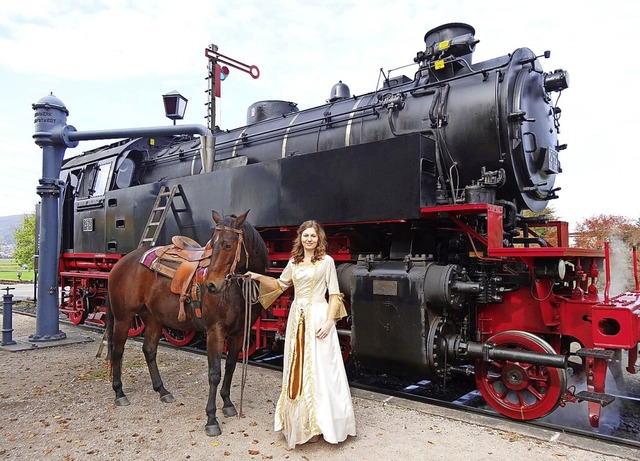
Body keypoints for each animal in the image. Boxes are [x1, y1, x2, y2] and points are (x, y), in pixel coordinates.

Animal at [107, 208, 268, 434]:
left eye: (228, 244)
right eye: (211, 244)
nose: (211, 285)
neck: (235, 291)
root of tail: (120, 264)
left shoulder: (238, 334)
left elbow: (230, 367)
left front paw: (227, 403)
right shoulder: (215, 332)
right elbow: (214, 373)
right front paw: (211, 419)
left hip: (153, 318)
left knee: (149, 350)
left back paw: (162, 390)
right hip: (123, 318)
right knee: (118, 350)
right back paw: (119, 393)